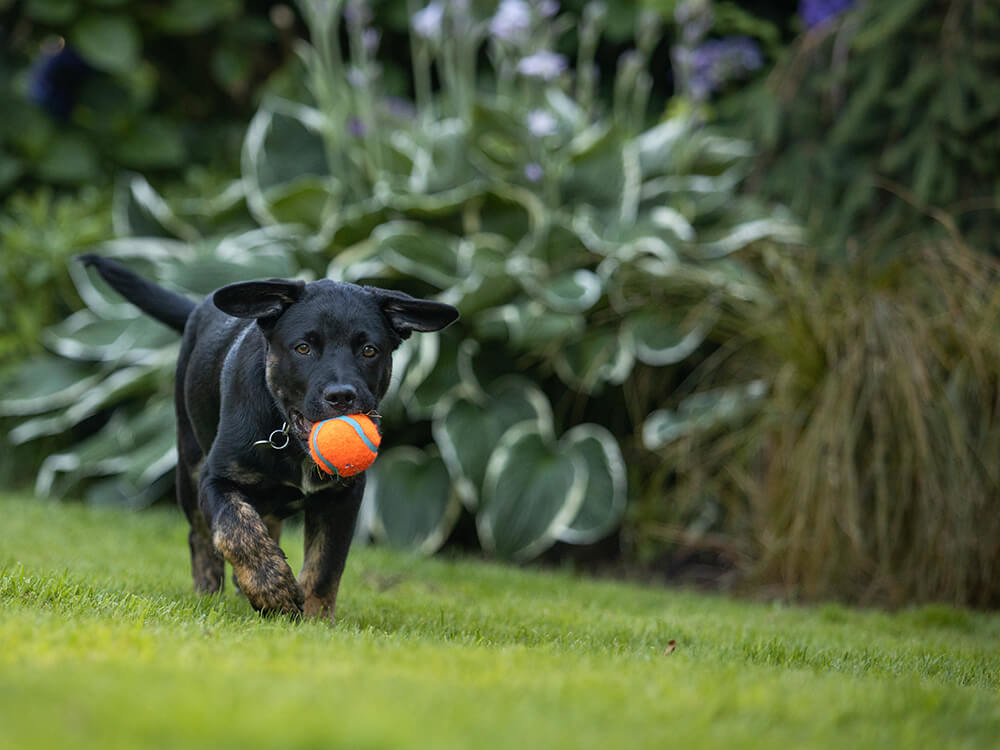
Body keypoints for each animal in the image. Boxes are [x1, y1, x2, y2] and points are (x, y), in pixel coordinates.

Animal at [79, 256, 460, 620]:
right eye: (303, 348)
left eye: (369, 350)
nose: (341, 396)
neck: (291, 439)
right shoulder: (216, 479)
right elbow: (236, 529)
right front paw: (272, 589)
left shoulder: (344, 495)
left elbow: (325, 564)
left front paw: (315, 619)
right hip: (188, 461)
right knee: (201, 535)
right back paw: (209, 591)